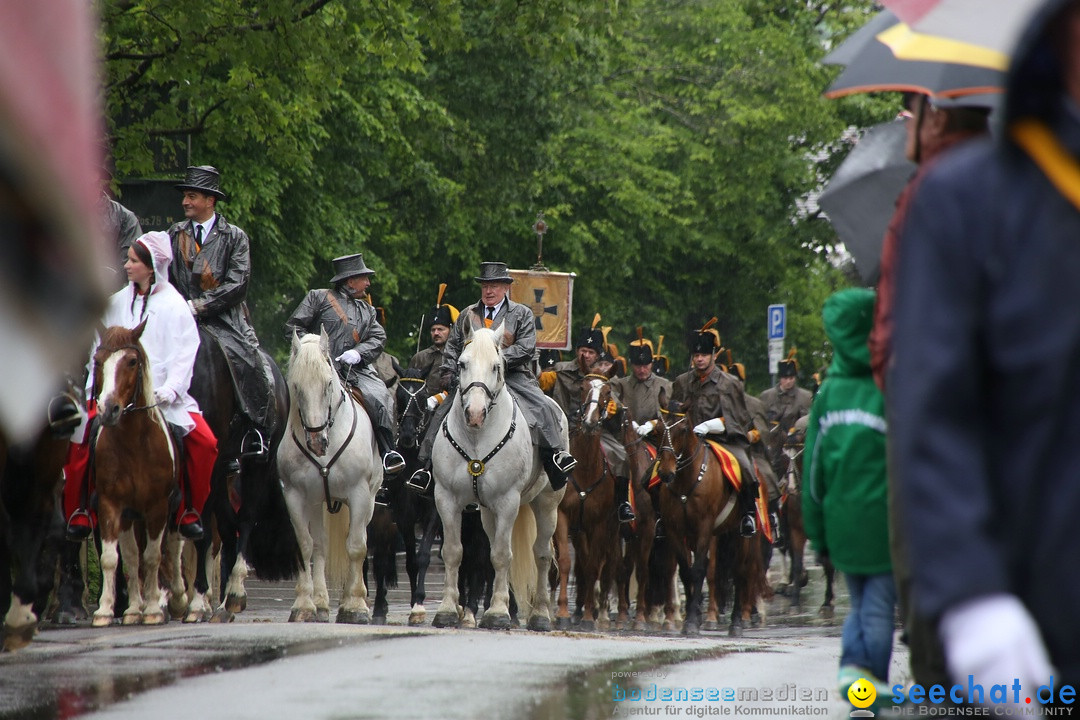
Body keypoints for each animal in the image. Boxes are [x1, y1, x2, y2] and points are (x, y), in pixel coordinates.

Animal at [90, 323, 181, 626]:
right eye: (98, 361)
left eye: (132, 361)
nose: (108, 409)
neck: (133, 445)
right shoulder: (112, 505)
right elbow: (115, 557)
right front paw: (107, 610)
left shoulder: (158, 507)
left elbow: (153, 556)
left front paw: (152, 609)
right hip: (131, 516)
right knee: (132, 557)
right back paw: (133, 608)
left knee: (175, 549)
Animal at [276, 330, 382, 621]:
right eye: (297, 387)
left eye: (328, 384)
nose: (316, 442)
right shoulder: (295, 496)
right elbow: (306, 546)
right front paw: (304, 604)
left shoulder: (359, 494)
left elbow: (356, 546)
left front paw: (355, 606)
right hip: (317, 502)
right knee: (321, 545)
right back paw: (322, 602)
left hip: (368, 499)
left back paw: (349, 600)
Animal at [429, 321, 565, 630]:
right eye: (462, 364)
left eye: (496, 366)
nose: (475, 414)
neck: (477, 438)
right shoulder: (446, 499)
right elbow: (453, 552)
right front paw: (446, 610)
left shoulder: (507, 501)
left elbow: (502, 556)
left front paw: (498, 613)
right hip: (487, 511)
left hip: (547, 503)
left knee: (542, 554)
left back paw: (541, 615)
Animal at [552, 375, 622, 626]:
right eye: (582, 388)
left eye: (608, 392)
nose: (590, 421)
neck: (584, 469)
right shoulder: (561, 516)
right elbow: (564, 562)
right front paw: (562, 612)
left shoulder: (599, 524)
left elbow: (593, 567)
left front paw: (590, 616)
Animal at [648, 405, 768, 634]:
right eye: (658, 429)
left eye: (684, 429)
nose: (665, 473)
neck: (686, 480)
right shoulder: (675, 530)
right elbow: (686, 572)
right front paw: (690, 617)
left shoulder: (704, 527)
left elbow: (698, 570)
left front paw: (692, 622)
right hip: (724, 534)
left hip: (741, 535)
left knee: (740, 571)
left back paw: (736, 622)